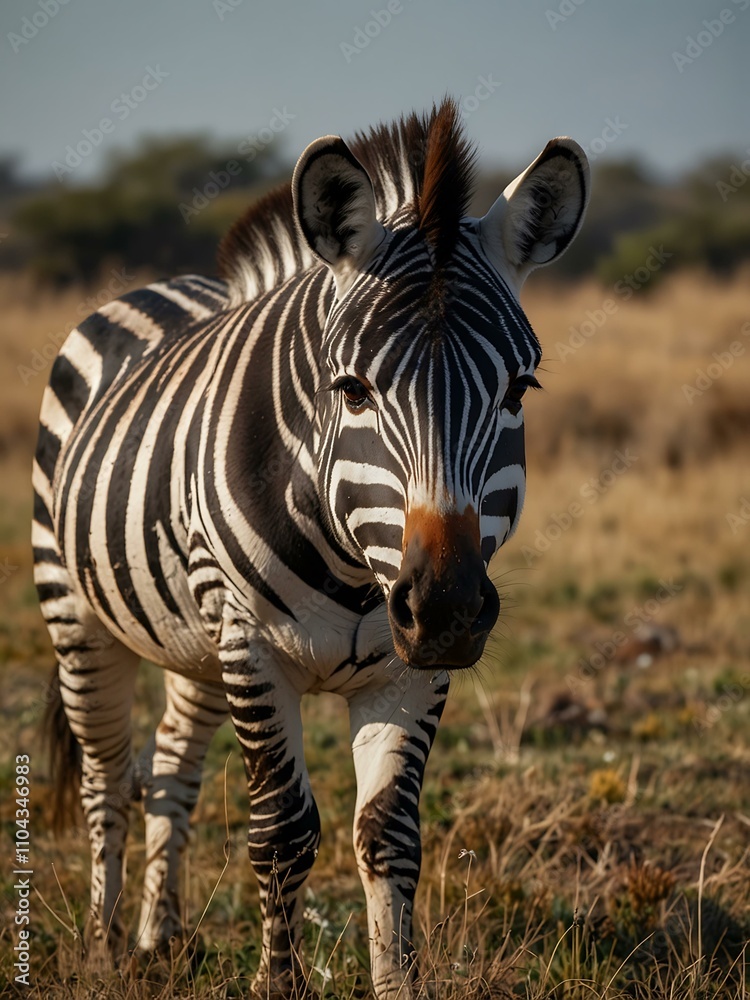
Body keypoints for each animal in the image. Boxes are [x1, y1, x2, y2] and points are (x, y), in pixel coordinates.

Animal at [34, 99, 589, 998]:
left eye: (518, 389)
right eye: (352, 389)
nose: (445, 609)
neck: (359, 570)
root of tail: (164, 286)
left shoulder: (409, 673)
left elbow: (389, 835)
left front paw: (398, 981)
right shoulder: (252, 649)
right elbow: (283, 832)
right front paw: (277, 983)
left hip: (194, 644)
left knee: (171, 767)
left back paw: (160, 935)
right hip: (78, 618)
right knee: (107, 778)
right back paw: (101, 948)